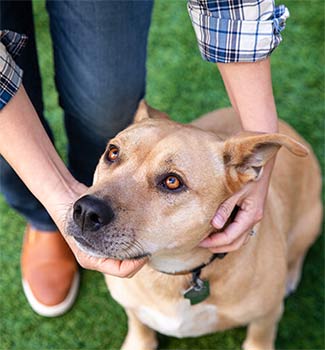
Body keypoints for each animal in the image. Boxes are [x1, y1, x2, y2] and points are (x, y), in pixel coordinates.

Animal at [66, 102, 322, 350]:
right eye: (113, 152)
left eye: (172, 181)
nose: (86, 211)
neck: (174, 273)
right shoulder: (132, 307)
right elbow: (139, 325)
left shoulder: (266, 318)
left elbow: (259, 339)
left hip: (311, 221)